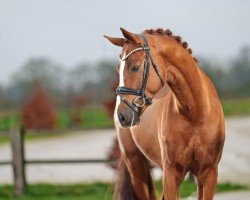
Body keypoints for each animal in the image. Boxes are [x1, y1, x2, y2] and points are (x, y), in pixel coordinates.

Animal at [104, 28, 226, 200]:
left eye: (134, 67)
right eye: (118, 69)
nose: (122, 115)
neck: (195, 114)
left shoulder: (208, 175)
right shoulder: (171, 174)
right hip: (136, 165)